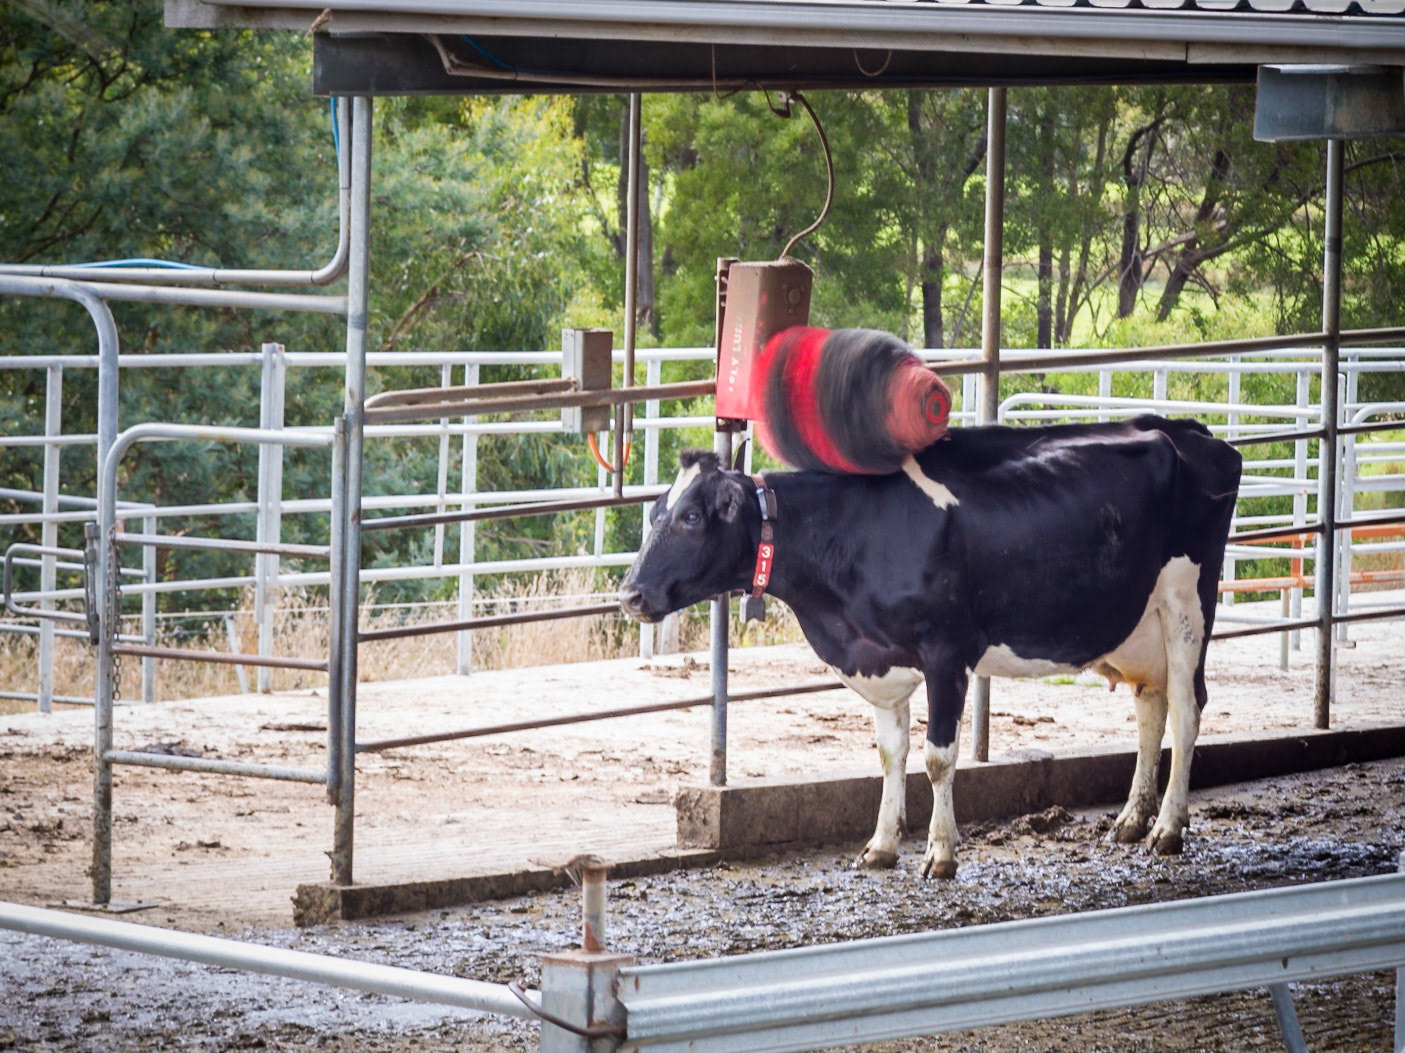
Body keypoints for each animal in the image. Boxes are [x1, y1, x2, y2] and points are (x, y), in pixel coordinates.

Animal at [618, 415, 1241, 878]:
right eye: (654, 513)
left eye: (691, 517)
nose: (630, 593)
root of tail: (1188, 431)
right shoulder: (880, 660)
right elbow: (890, 753)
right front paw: (881, 846)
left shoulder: (947, 652)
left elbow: (938, 757)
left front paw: (940, 853)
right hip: (1140, 622)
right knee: (1150, 707)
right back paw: (1132, 820)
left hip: (1187, 602)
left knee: (1187, 709)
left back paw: (1168, 828)